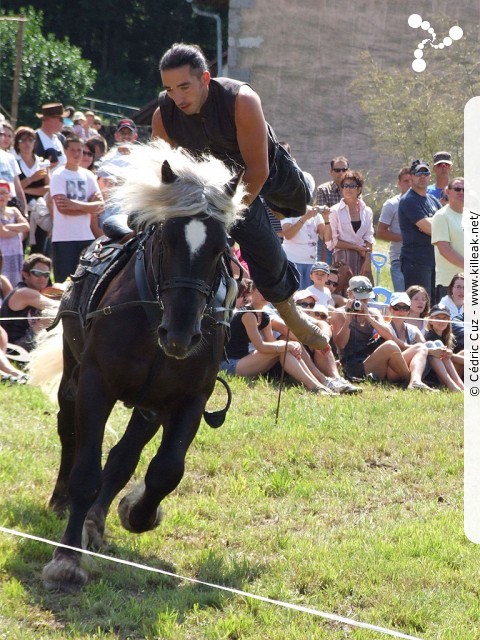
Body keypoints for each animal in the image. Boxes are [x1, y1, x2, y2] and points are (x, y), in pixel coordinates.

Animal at [32, 142, 244, 592]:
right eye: (166, 239)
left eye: (220, 249)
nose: (181, 335)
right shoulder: (96, 384)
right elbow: (86, 471)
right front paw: (66, 559)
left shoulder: (189, 398)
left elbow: (165, 470)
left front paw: (136, 511)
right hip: (74, 377)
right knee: (68, 431)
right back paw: (62, 503)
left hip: (149, 405)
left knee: (124, 454)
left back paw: (95, 520)